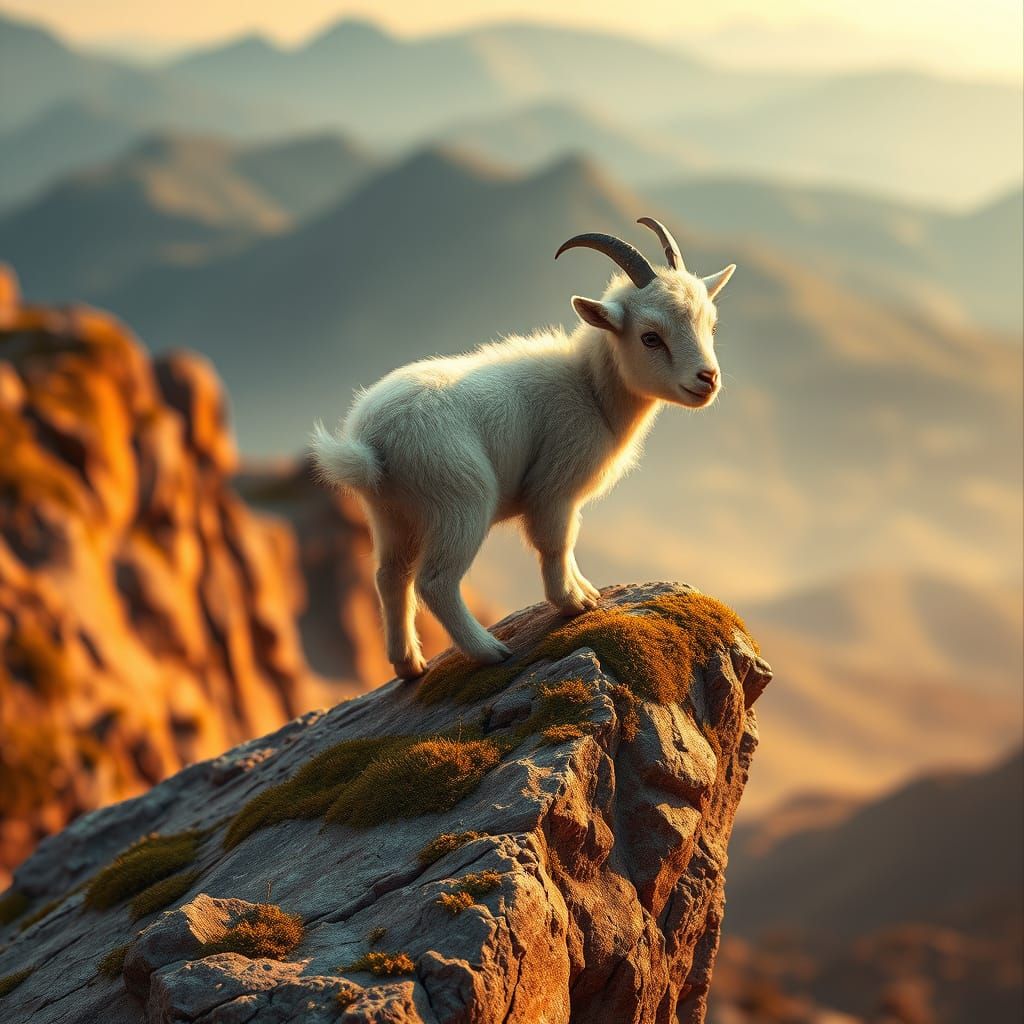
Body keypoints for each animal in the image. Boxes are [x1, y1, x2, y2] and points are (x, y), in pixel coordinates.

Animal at [312, 218, 736, 679]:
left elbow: (567, 544)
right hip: (459, 499)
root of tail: (371, 445)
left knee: (390, 576)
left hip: (392, 515)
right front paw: (572, 603)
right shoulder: (553, 487)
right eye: (650, 337)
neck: (590, 388)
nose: (707, 379)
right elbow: (556, 543)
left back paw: (409, 664)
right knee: (435, 581)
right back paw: (489, 650)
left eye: (713, 326)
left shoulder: (563, 496)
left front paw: (586, 591)